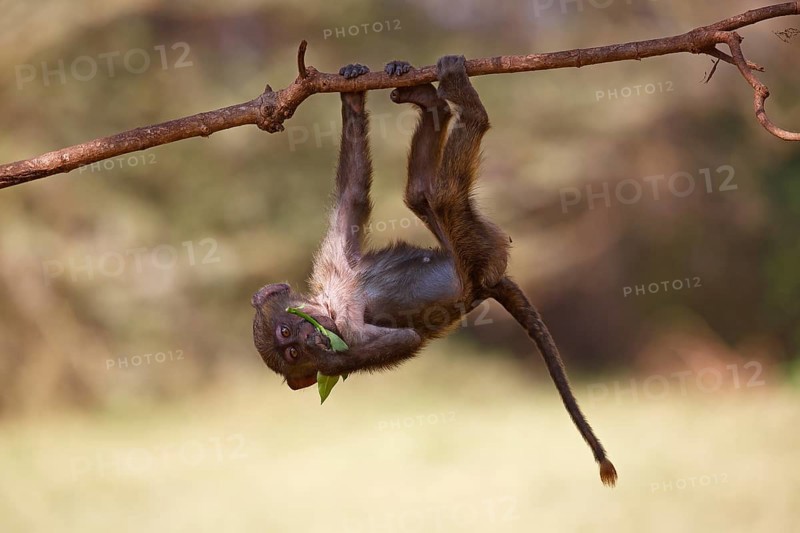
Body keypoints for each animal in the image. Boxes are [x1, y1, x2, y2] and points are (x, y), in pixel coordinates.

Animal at [251, 56, 618, 487]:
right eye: (291, 351)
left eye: (286, 332)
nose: (306, 338)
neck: (329, 303)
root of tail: (489, 283)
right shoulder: (345, 329)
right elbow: (402, 339)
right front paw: (327, 359)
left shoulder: (333, 265)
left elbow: (352, 194)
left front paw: (352, 92)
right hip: (481, 252)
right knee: (439, 195)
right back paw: (460, 102)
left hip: (481, 244)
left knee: (421, 195)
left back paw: (429, 97)